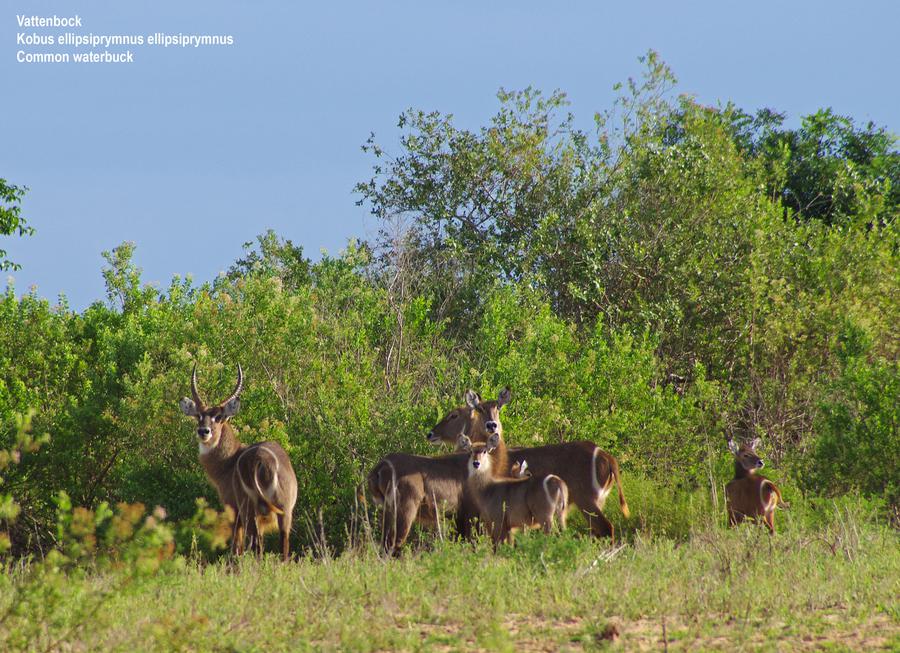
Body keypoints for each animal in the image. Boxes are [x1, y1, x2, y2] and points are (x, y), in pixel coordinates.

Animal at [178, 364, 298, 556]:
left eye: (219, 417)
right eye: (198, 415)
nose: (204, 431)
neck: (229, 461)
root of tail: (265, 461)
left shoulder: (232, 508)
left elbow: (236, 547)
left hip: (249, 511)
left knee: (256, 546)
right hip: (285, 511)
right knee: (283, 549)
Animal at [364, 390, 506, 552]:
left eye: (454, 415)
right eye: (481, 409)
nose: (492, 425)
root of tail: (381, 466)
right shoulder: (469, 513)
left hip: (387, 511)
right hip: (405, 511)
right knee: (393, 545)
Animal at [428, 388, 624, 540]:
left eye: (453, 415)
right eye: (480, 409)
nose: (430, 433)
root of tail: (607, 456)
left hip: (587, 501)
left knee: (606, 528)